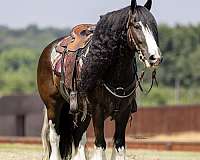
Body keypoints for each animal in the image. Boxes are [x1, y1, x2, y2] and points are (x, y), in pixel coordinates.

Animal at [37, 0, 162, 159]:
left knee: (79, 138)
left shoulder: (124, 112)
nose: (155, 57)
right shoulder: (98, 111)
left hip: (81, 112)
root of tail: (49, 49)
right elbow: (100, 144)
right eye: (136, 25)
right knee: (54, 137)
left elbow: (119, 145)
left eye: (153, 26)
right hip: (53, 105)